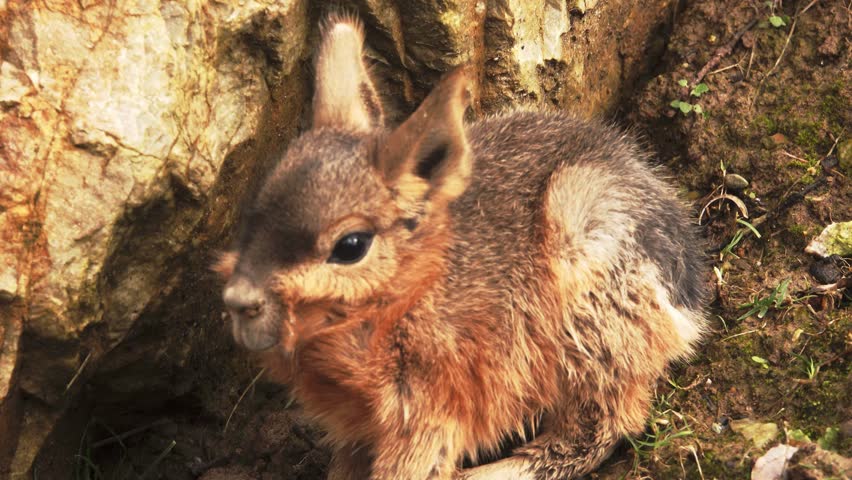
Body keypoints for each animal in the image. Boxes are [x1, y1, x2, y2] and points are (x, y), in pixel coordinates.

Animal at [214, 14, 708, 480]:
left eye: (351, 245)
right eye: (256, 210)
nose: (239, 301)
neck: (405, 298)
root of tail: (687, 299)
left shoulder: (425, 414)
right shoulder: (359, 432)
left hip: (587, 308)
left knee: (594, 434)